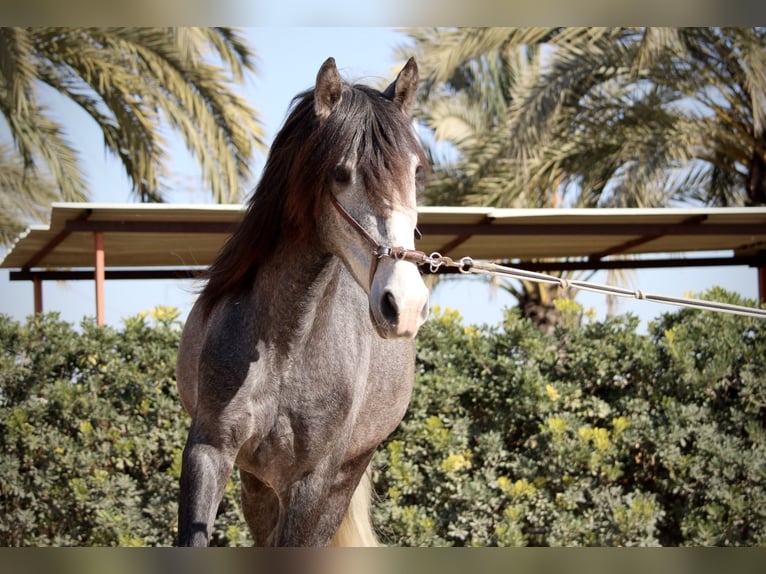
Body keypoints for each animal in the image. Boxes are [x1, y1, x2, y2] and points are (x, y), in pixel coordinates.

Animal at [176, 58, 436, 548]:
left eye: (415, 172)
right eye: (341, 173)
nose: (405, 304)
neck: (286, 343)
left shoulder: (313, 482)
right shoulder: (209, 450)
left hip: (343, 477)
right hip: (258, 480)